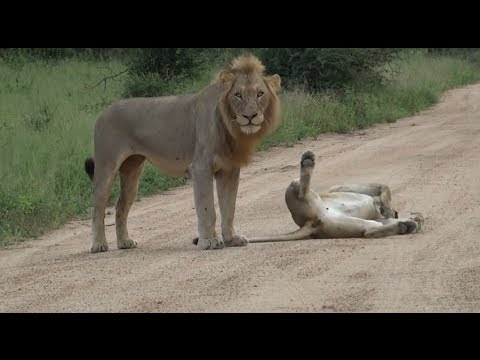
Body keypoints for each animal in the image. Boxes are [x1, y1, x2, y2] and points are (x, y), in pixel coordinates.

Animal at [84, 54, 284, 253]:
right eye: (238, 95)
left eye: (260, 94)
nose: (250, 116)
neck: (229, 125)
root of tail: (103, 112)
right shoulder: (201, 168)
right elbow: (208, 208)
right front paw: (209, 241)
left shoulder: (229, 170)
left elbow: (229, 208)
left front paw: (231, 239)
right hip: (106, 167)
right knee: (97, 208)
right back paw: (99, 244)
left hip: (132, 172)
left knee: (120, 207)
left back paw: (124, 242)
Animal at [244, 150, 424, 243]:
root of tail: (309, 223)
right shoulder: (340, 187)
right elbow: (384, 187)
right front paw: (392, 208)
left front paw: (414, 218)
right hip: (298, 189)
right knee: (301, 188)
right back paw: (307, 159)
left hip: (348, 224)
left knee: (370, 230)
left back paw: (406, 226)